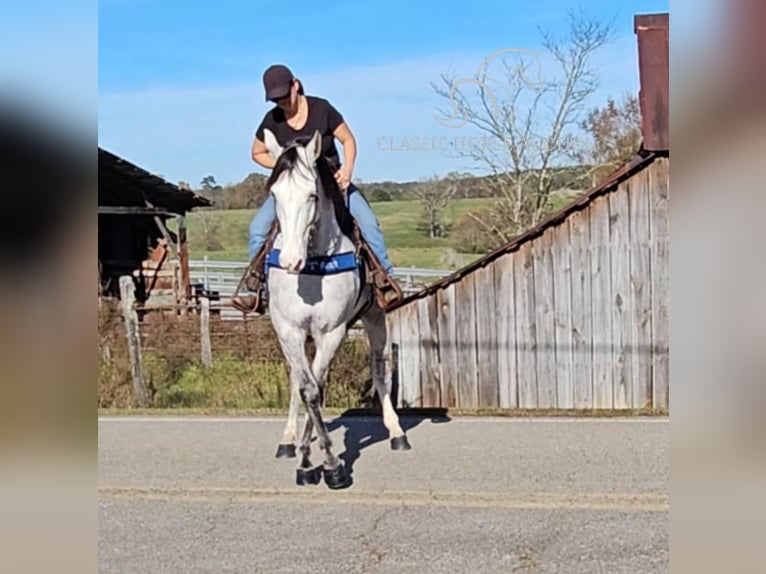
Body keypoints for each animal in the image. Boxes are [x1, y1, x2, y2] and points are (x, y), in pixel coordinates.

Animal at [260, 129, 412, 490]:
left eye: (312, 196)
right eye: (274, 194)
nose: (290, 261)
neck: (313, 266)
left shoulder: (332, 331)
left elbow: (318, 388)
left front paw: (330, 465)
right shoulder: (288, 329)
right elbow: (306, 389)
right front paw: (305, 460)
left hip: (374, 318)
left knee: (379, 370)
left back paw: (396, 432)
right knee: (298, 380)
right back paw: (288, 440)